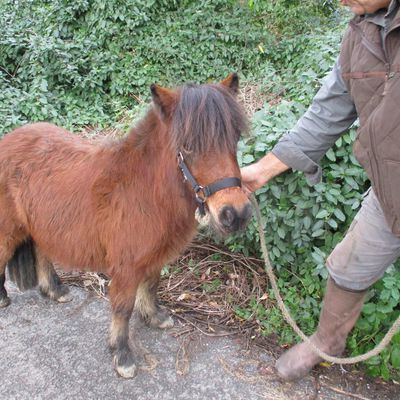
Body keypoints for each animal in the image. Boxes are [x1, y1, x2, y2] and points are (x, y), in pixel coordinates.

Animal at [0, 72, 250, 378]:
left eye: (234, 138)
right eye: (187, 146)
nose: (235, 213)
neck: (142, 190)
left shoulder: (154, 257)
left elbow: (151, 285)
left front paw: (154, 317)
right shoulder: (126, 267)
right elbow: (122, 308)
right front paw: (122, 355)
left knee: (41, 252)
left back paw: (55, 291)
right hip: (8, 229)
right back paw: (3, 298)